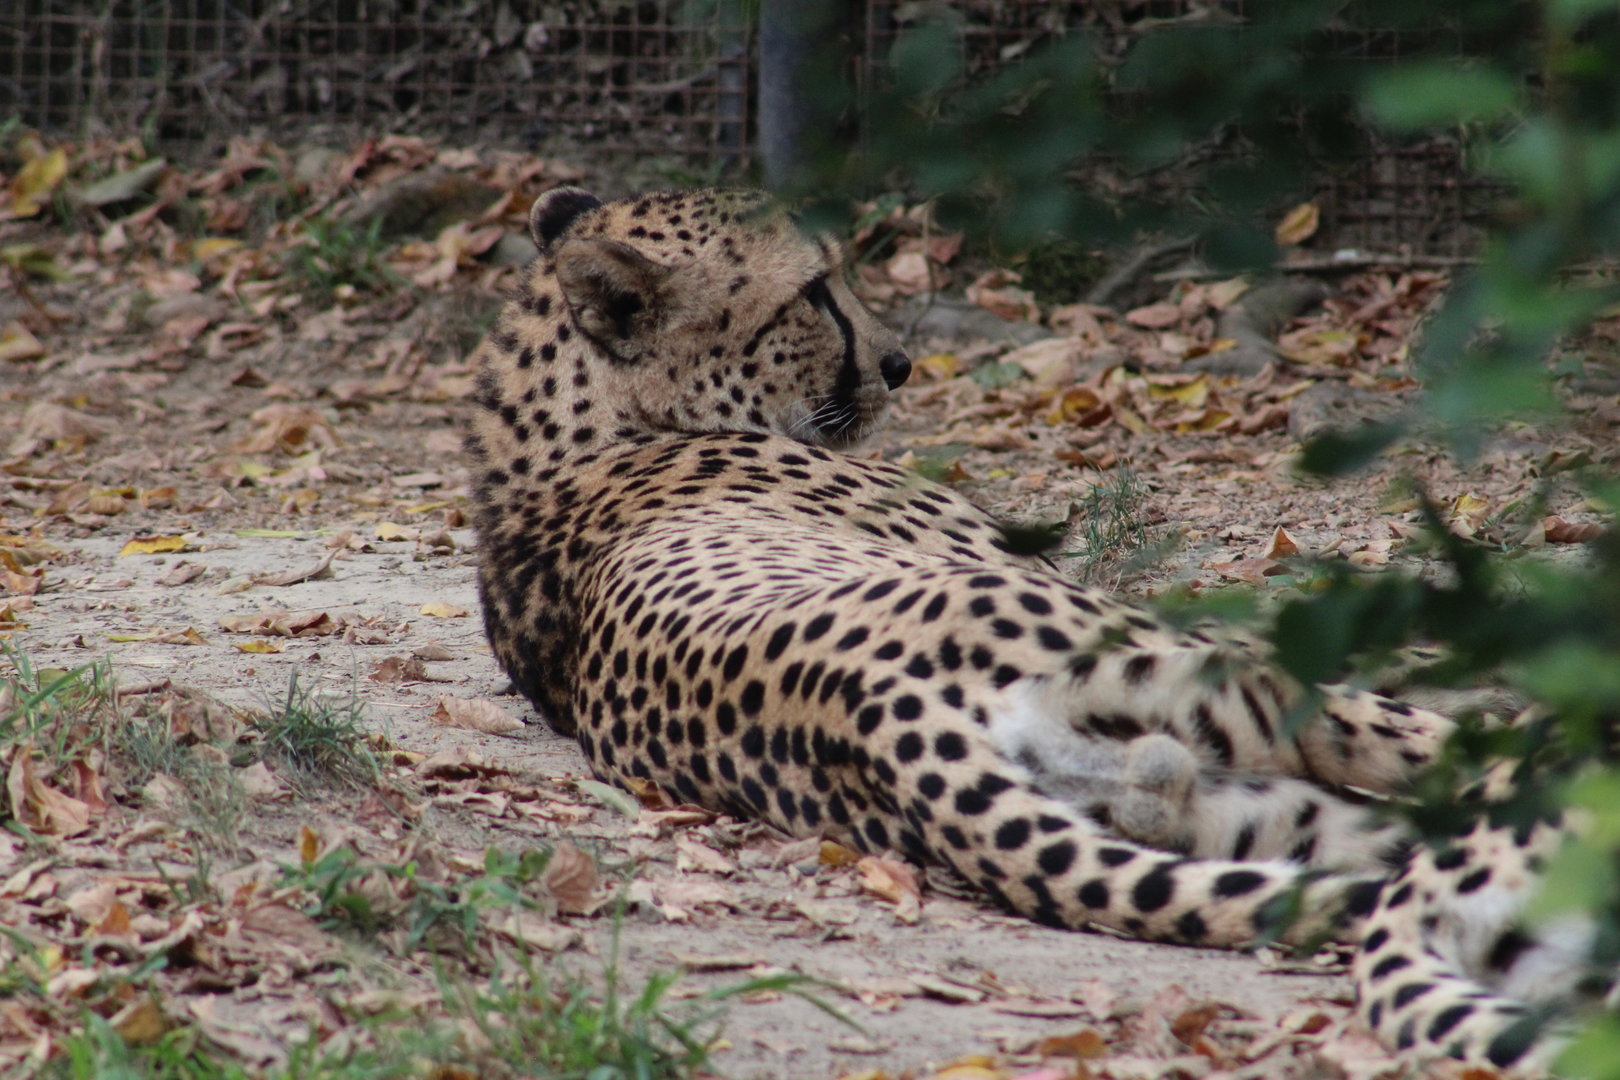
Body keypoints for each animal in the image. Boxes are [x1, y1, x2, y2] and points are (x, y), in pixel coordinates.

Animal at [464, 185, 1585, 1074]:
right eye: (814, 292)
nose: (901, 364)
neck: (580, 429)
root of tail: (875, 715)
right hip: (1232, 680)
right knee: (1454, 748)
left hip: (1245, 809)